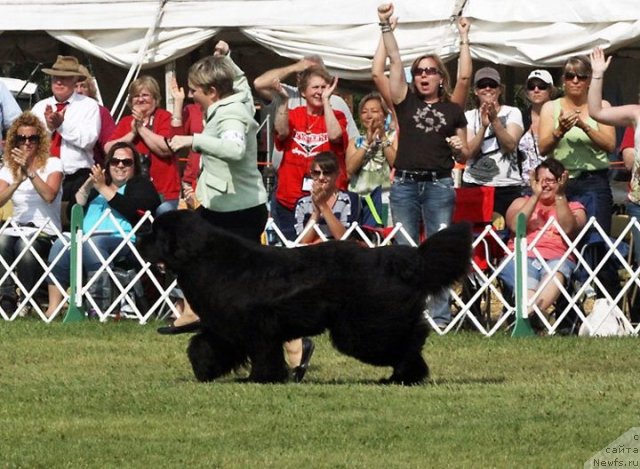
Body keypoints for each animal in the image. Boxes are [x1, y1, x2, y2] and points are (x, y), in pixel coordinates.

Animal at [139, 211, 470, 384]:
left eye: (155, 233)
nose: (139, 240)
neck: (205, 258)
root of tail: (400, 259)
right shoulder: (228, 327)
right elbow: (202, 346)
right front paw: (205, 370)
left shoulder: (257, 328)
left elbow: (263, 356)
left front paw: (259, 378)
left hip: (362, 327)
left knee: (410, 339)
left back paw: (403, 375)